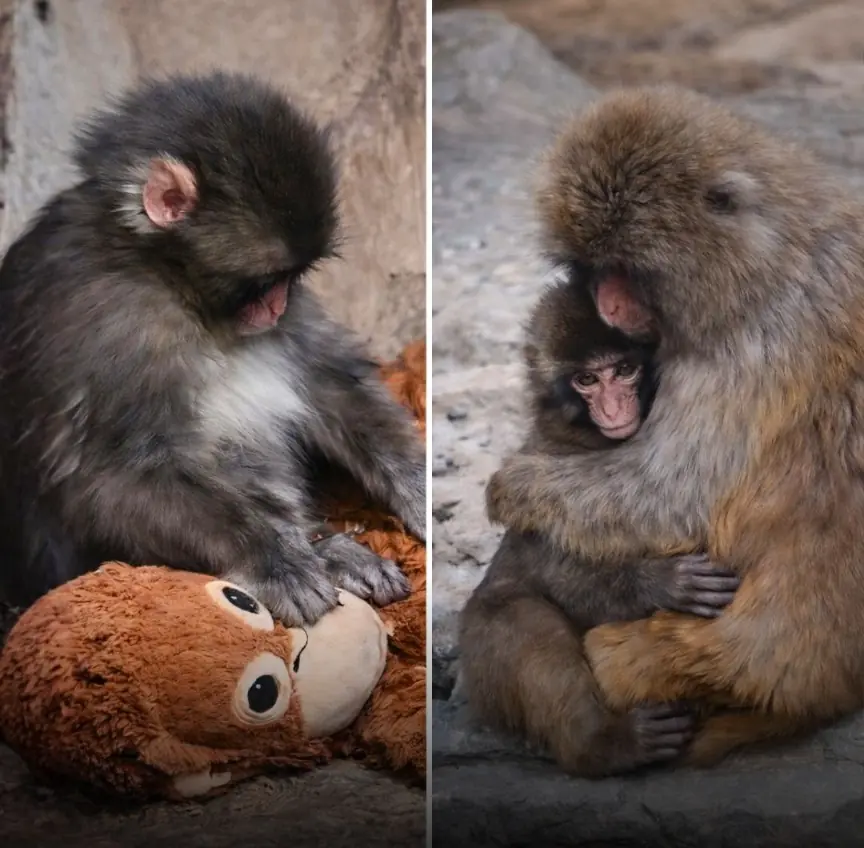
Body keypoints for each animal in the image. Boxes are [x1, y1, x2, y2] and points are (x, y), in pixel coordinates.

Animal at [0, 71, 426, 627]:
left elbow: (329, 379)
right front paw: (273, 559)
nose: (277, 308)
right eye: (265, 280)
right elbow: (113, 476)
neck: (166, 280)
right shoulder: (111, 323)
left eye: (292, 279)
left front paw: (417, 484)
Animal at [459, 278, 740, 776]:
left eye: (624, 370)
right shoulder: (544, 462)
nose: (612, 407)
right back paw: (604, 745)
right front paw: (661, 584)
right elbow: (563, 579)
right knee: (527, 621)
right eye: (587, 380)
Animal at [483, 84, 864, 765]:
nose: (606, 303)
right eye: (591, 266)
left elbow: (677, 497)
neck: (765, 257)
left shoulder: (746, 347)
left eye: (625, 269)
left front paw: (513, 486)